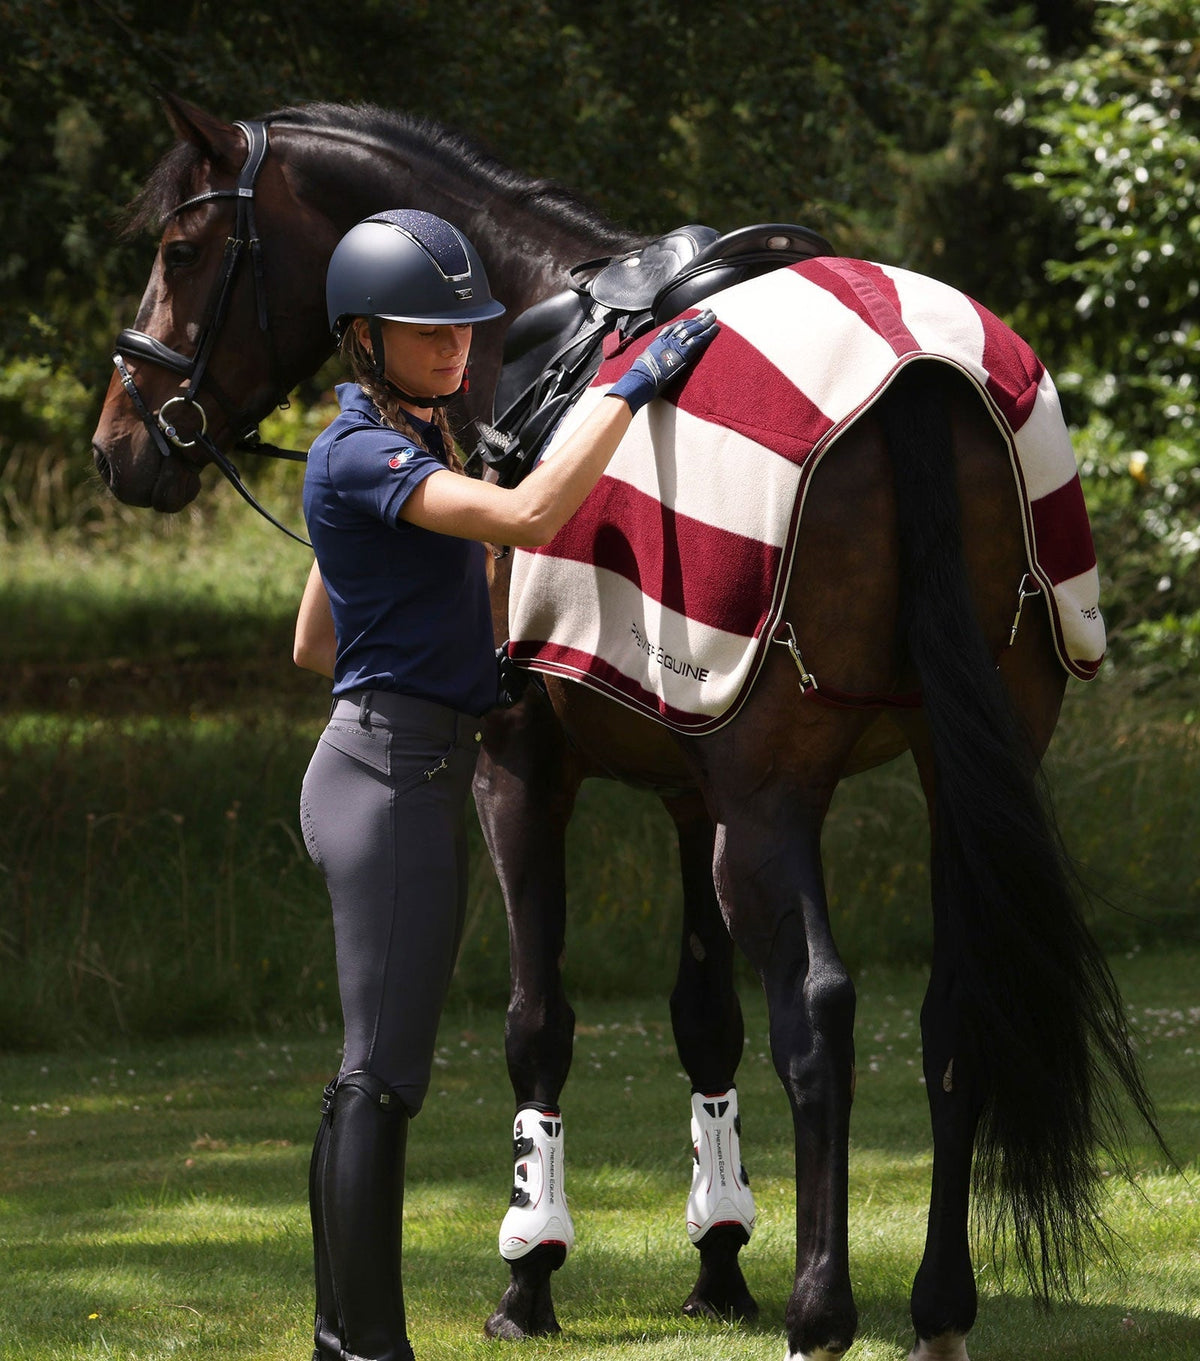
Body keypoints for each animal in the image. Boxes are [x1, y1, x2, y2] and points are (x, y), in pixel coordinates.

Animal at [91, 95, 1160, 1361]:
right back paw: (937, 1307)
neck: (529, 324)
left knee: (820, 1014)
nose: (119, 441)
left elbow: (538, 1021)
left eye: (181, 251)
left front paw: (530, 1272)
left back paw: (821, 1308)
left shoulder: (523, 771)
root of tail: (923, 379)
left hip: (771, 805)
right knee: (954, 1010)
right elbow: (705, 1019)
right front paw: (718, 1260)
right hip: (956, 771)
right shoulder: (692, 789)